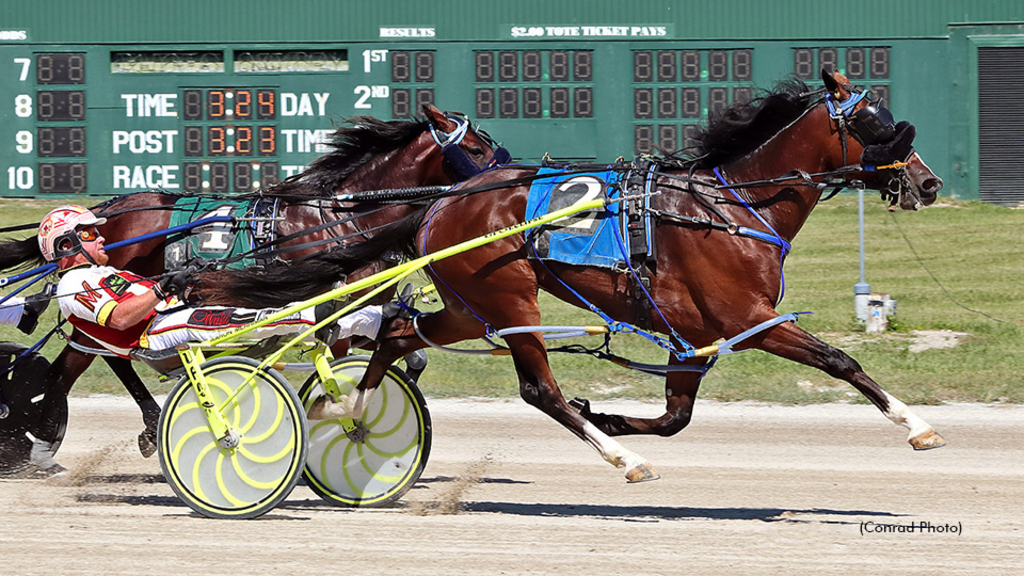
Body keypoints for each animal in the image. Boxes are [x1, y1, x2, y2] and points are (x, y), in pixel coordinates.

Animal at [0, 104, 507, 471]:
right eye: (476, 149)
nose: (504, 177)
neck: (337, 217)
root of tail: (110, 209)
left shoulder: (361, 303)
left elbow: (405, 351)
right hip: (96, 300)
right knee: (70, 366)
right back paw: (43, 442)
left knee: (107, 358)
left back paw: (143, 423)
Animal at [214, 69, 942, 481]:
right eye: (875, 123)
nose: (928, 183)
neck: (732, 207)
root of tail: (443, 200)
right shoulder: (751, 320)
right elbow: (841, 361)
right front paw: (916, 426)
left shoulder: (695, 337)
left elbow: (676, 415)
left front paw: (614, 417)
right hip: (509, 299)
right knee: (537, 388)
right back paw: (623, 462)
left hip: (469, 304)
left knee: (396, 335)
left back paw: (349, 410)